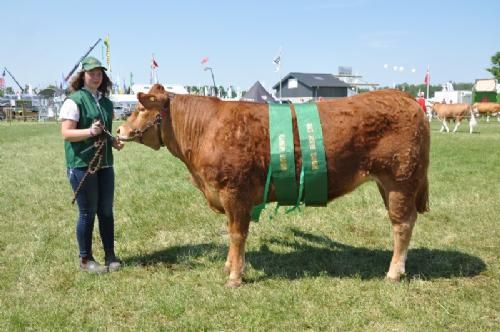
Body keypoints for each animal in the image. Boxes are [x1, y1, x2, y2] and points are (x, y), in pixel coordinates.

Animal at [117, 86, 430, 288]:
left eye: (140, 108)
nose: (118, 131)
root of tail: (407, 99)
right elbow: (232, 234)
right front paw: (230, 266)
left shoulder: (235, 192)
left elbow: (237, 234)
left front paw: (234, 277)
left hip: (400, 181)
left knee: (402, 224)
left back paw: (393, 273)